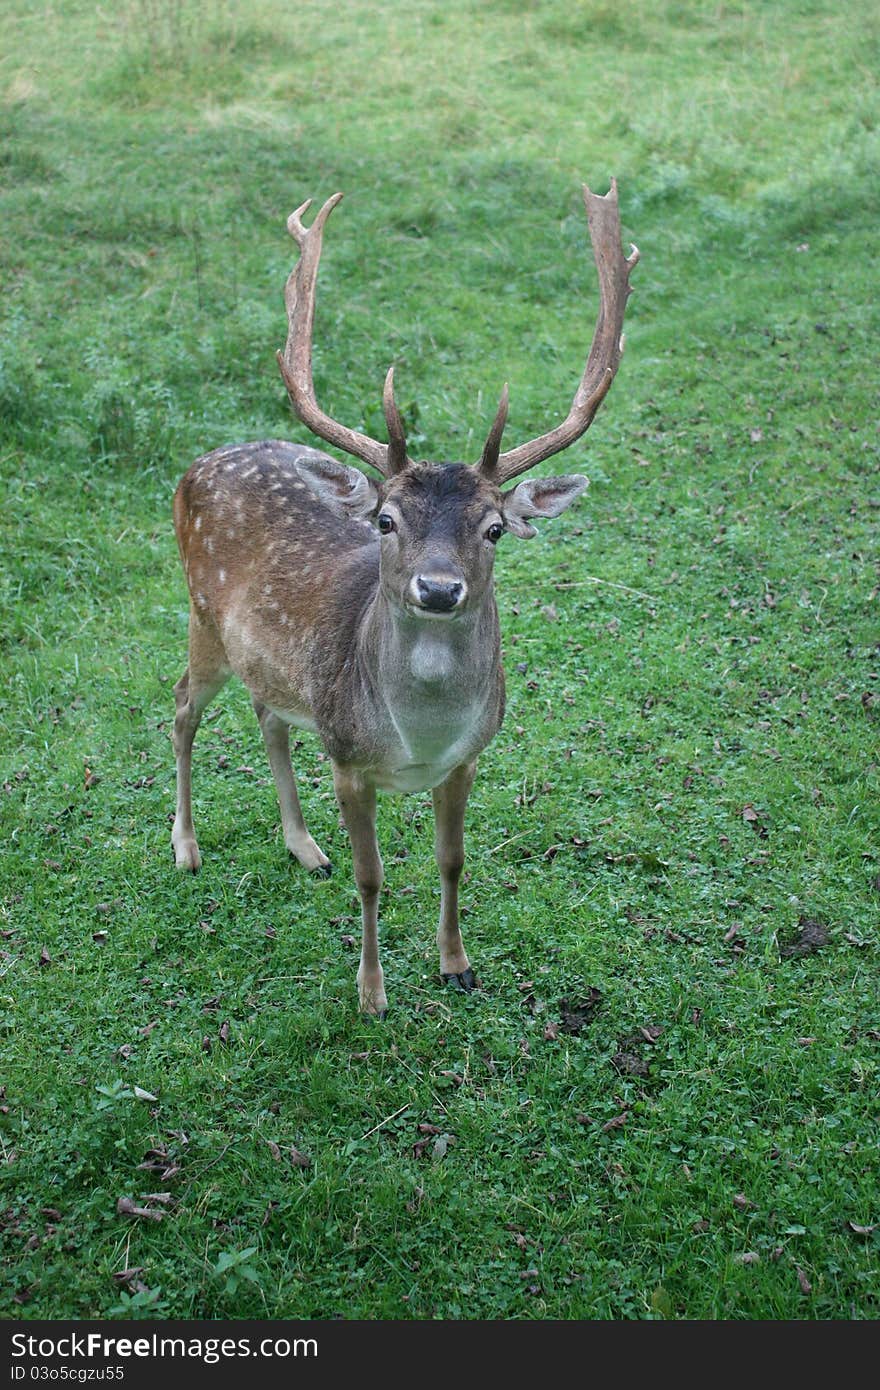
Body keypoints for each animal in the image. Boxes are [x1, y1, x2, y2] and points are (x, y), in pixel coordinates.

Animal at [171, 179, 639, 1017]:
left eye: (493, 528)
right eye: (386, 520)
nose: (439, 587)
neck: (417, 741)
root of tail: (196, 465)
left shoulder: (467, 761)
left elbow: (453, 862)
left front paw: (457, 964)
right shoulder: (350, 760)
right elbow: (373, 877)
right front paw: (372, 994)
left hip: (274, 663)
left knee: (269, 717)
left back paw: (303, 847)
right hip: (201, 614)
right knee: (182, 707)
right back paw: (186, 847)